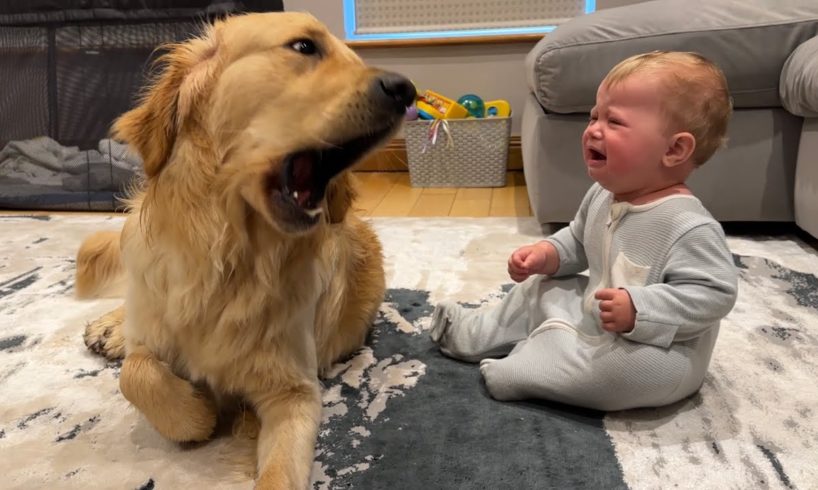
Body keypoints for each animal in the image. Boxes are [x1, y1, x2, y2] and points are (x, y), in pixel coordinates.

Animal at [75, 12, 414, 490]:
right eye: (304, 47)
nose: (406, 90)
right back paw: (112, 328)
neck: (229, 259)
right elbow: (136, 374)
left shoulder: (295, 392)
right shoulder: (157, 334)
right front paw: (196, 414)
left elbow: (278, 473)